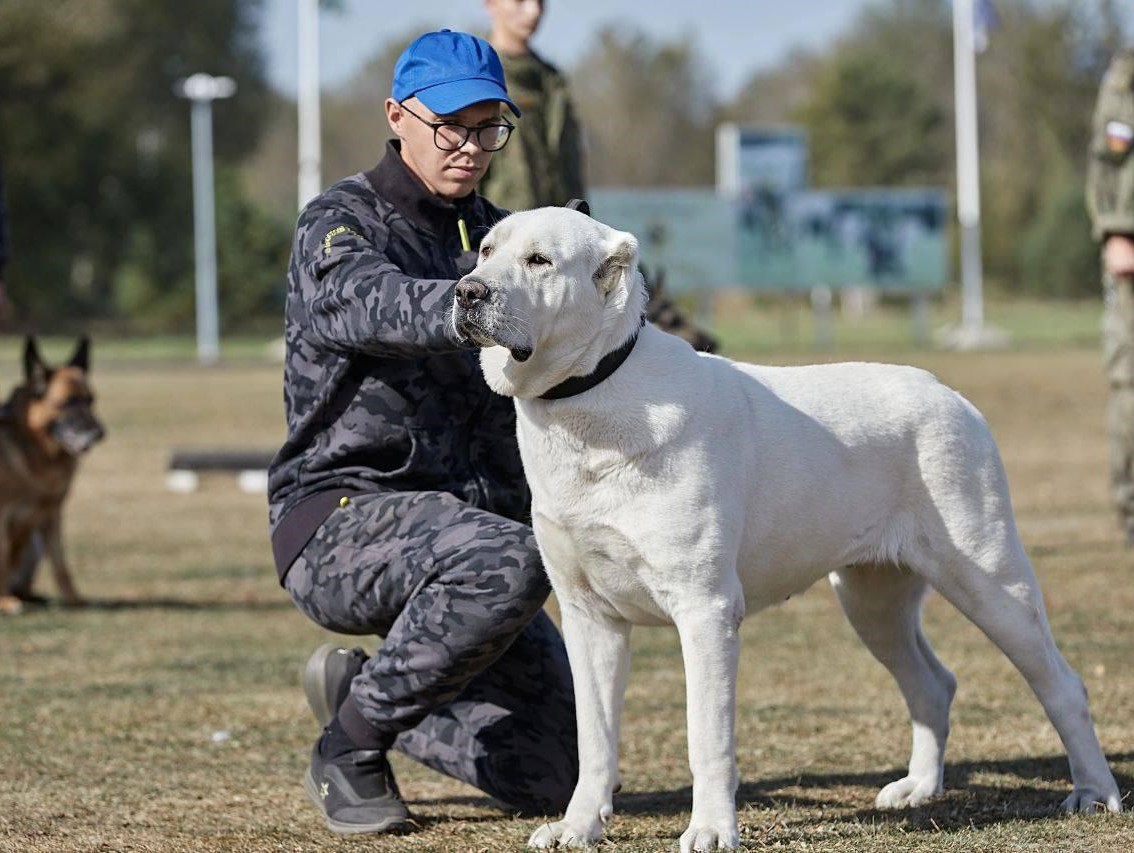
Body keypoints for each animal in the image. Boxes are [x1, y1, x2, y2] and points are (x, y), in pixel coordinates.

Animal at [446, 208, 1120, 852]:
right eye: (484, 251)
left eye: (539, 260)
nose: (467, 291)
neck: (591, 397)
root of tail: (949, 393)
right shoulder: (589, 617)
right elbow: (595, 738)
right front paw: (579, 826)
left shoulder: (706, 611)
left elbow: (707, 736)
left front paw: (711, 831)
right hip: (871, 600)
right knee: (932, 685)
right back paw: (919, 789)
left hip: (989, 579)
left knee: (1062, 685)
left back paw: (1093, 792)